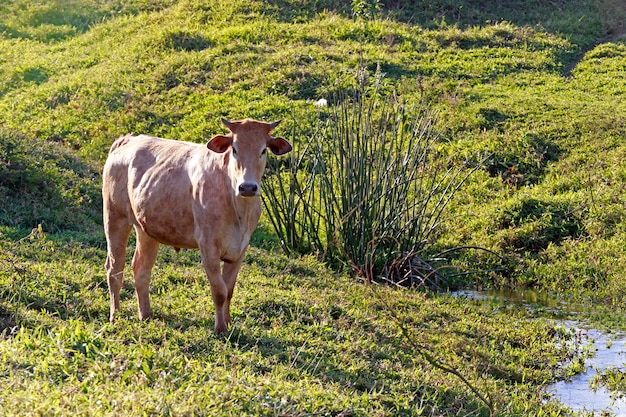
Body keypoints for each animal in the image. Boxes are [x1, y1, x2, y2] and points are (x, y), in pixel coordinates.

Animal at [101, 118, 292, 334]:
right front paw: (220, 328)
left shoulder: (241, 248)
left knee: (141, 268)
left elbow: (229, 289)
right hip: (114, 217)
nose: (248, 187)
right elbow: (219, 290)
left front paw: (228, 322)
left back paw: (146, 315)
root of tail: (127, 140)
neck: (239, 209)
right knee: (114, 268)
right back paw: (115, 316)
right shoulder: (208, 245)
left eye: (263, 150)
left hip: (146, 228)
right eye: (234, 149)